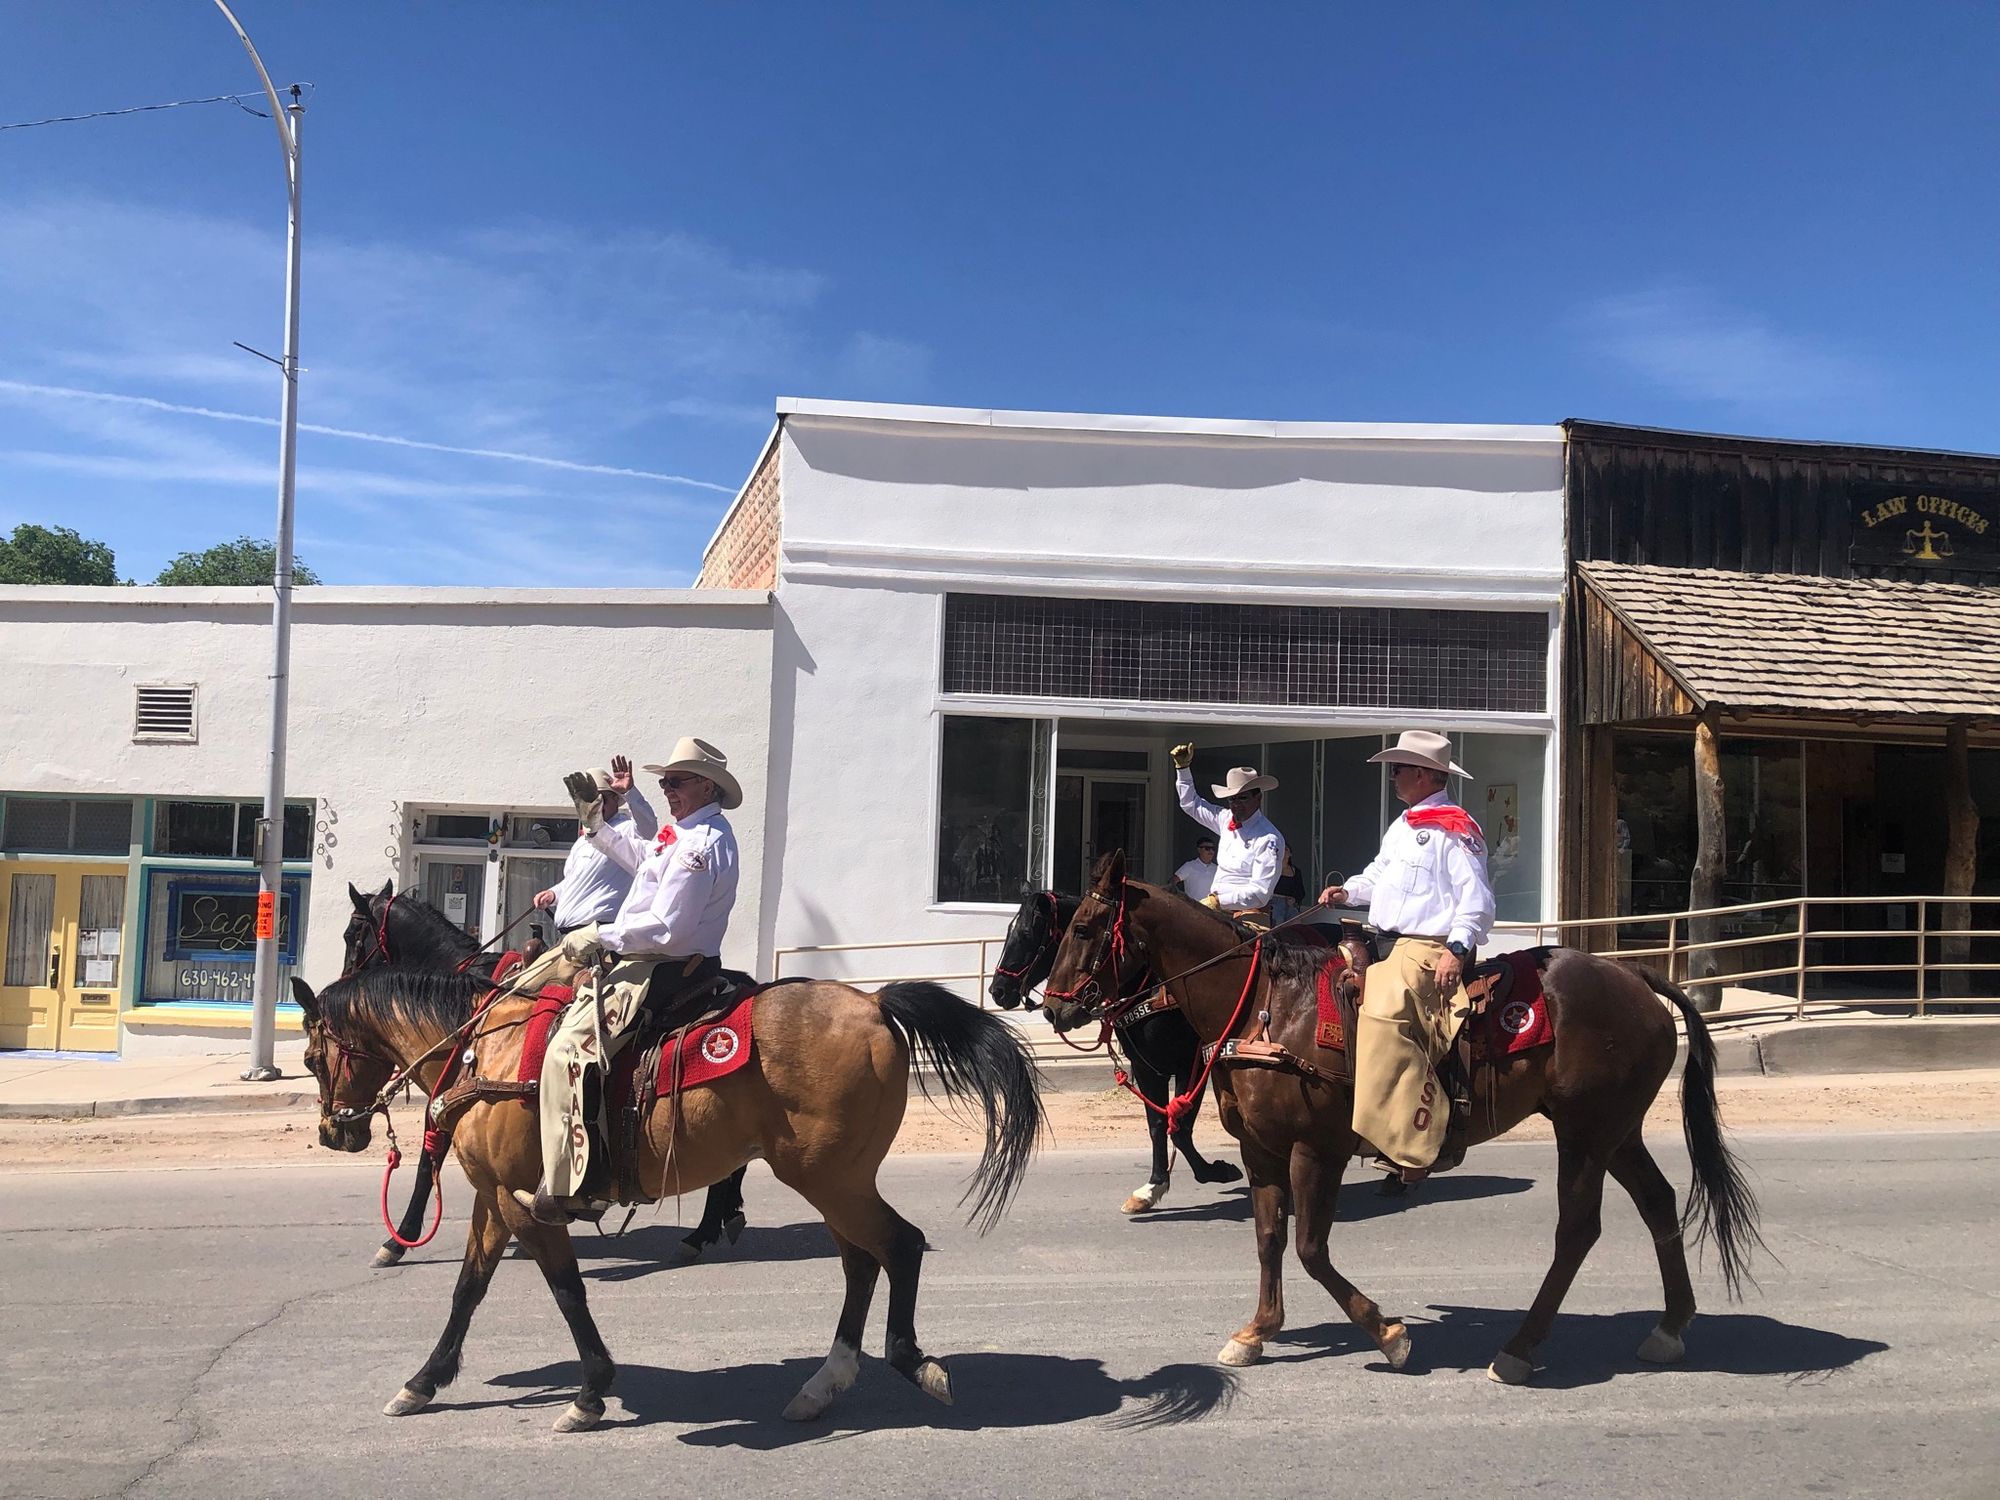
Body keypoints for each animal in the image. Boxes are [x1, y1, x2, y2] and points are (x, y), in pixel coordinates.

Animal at [296, 964, 1048, 1432]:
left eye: (309, 1058)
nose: (334, 1130)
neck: (494, 1054)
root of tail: (873, 1003)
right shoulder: (492, 1199)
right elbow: (467, 1290)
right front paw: (423, 1381)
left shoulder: (523, 1203)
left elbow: (567, 1290)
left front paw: (590, 1392)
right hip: (836, 1180)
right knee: (863, 1262)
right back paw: (822, 1385)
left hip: (831, 1178)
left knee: (899, 1246)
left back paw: (911, 1362)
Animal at [980, 892, 1232, 1224]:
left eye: (1025, 933)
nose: (997, 990)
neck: (1151, 988)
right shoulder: (1147, 1068)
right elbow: (1157, 1124)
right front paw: (1151, 1188)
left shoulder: (1192, 1063)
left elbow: (1179, 1127)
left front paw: (1215, 1171)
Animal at [1040, 852, 1760, 1392]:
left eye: (1084, 928)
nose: (1052, 1009)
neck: (1270, 1008)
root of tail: (1635, 976)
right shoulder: (1262, 1150)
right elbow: (1270, 1240)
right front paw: (1257, 1331)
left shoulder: (1316, 1150)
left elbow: (1311, 1249)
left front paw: (1388, 1334)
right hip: (1615, 1130)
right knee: (1658, 1202)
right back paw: (1670, 1327)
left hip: (1584, 1133)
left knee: (1577, 1230)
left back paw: (1520, 1348)